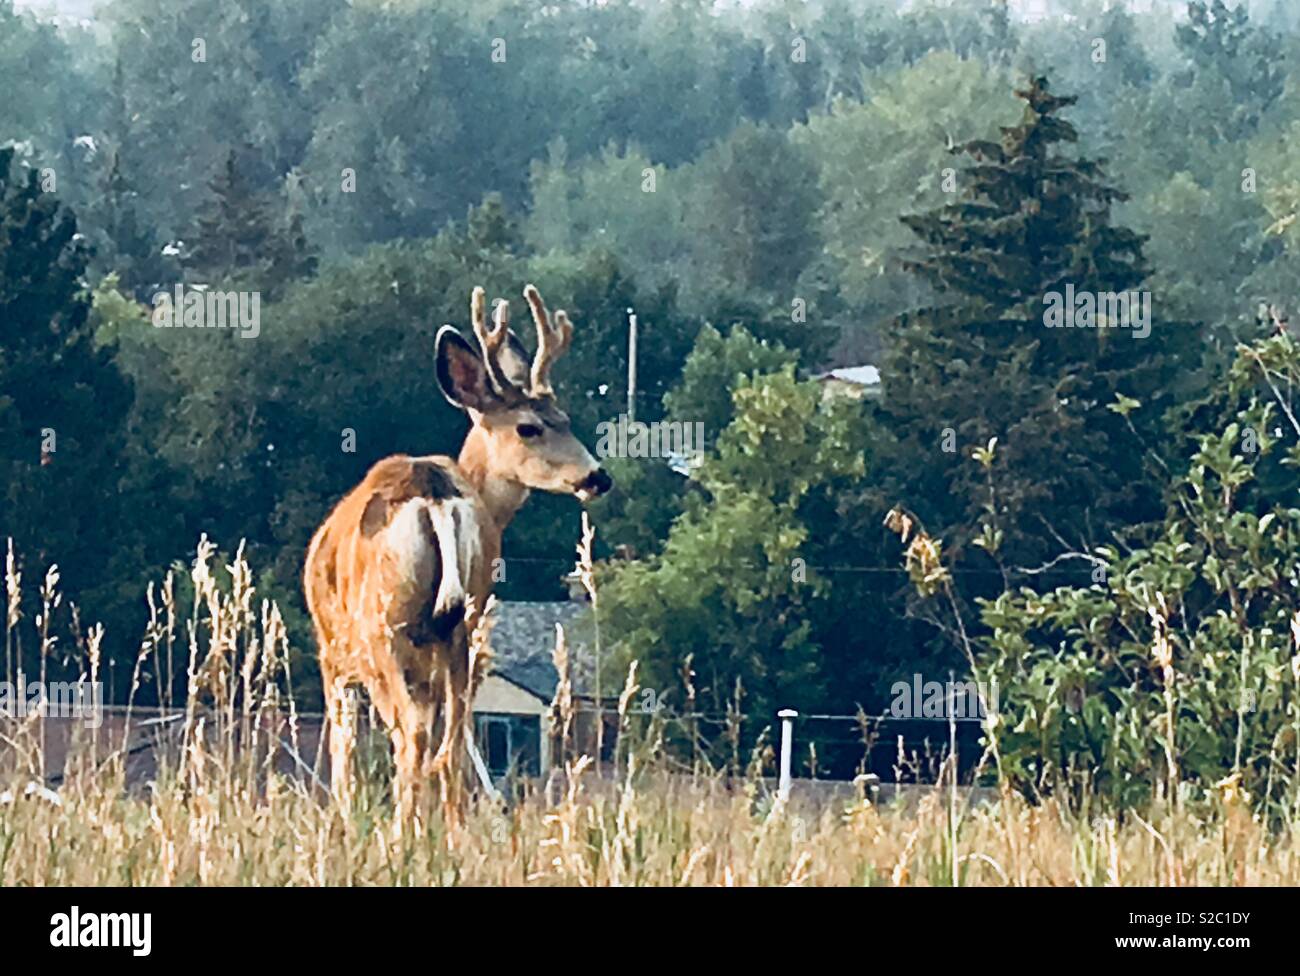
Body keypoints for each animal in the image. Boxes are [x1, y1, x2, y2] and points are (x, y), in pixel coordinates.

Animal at [301, 285, 611, 826]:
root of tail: (436, 495)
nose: (598, 476)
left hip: (385, 629)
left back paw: (402, 832)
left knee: (411, 740)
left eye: (564, 420)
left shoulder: (332, 655)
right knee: (449, 749)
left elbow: (343, 754)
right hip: (462, 627)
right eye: (532, 427)